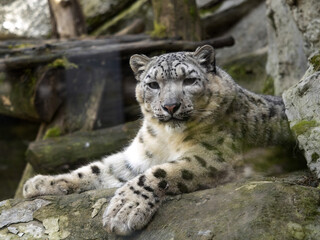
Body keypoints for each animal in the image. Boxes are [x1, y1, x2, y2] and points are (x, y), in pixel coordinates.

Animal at [23, 44, 292, 234]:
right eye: (152, 84)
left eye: (189, 80)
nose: (170, 106)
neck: (167, 138)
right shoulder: (136, 157)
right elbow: (98, 169)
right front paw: (40, 183)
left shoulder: (211, 156)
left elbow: (157, 173)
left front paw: (123, 210)